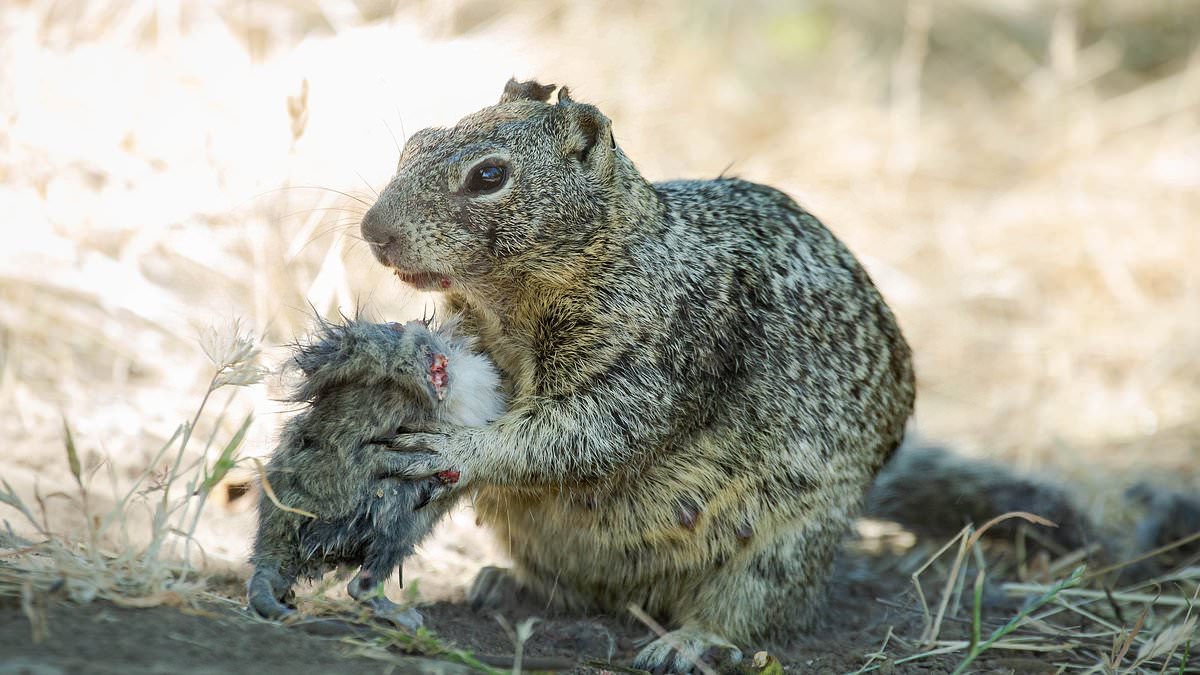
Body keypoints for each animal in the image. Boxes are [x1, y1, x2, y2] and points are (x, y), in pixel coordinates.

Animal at [360, 78, 912, 667]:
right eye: (415, 143)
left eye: (489, 176)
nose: (373, 230)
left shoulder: (660, 361)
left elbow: (581, 433)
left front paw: (455, 449)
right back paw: (508, 586)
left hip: (781, 550)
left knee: (747, 614)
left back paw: (687, 642)